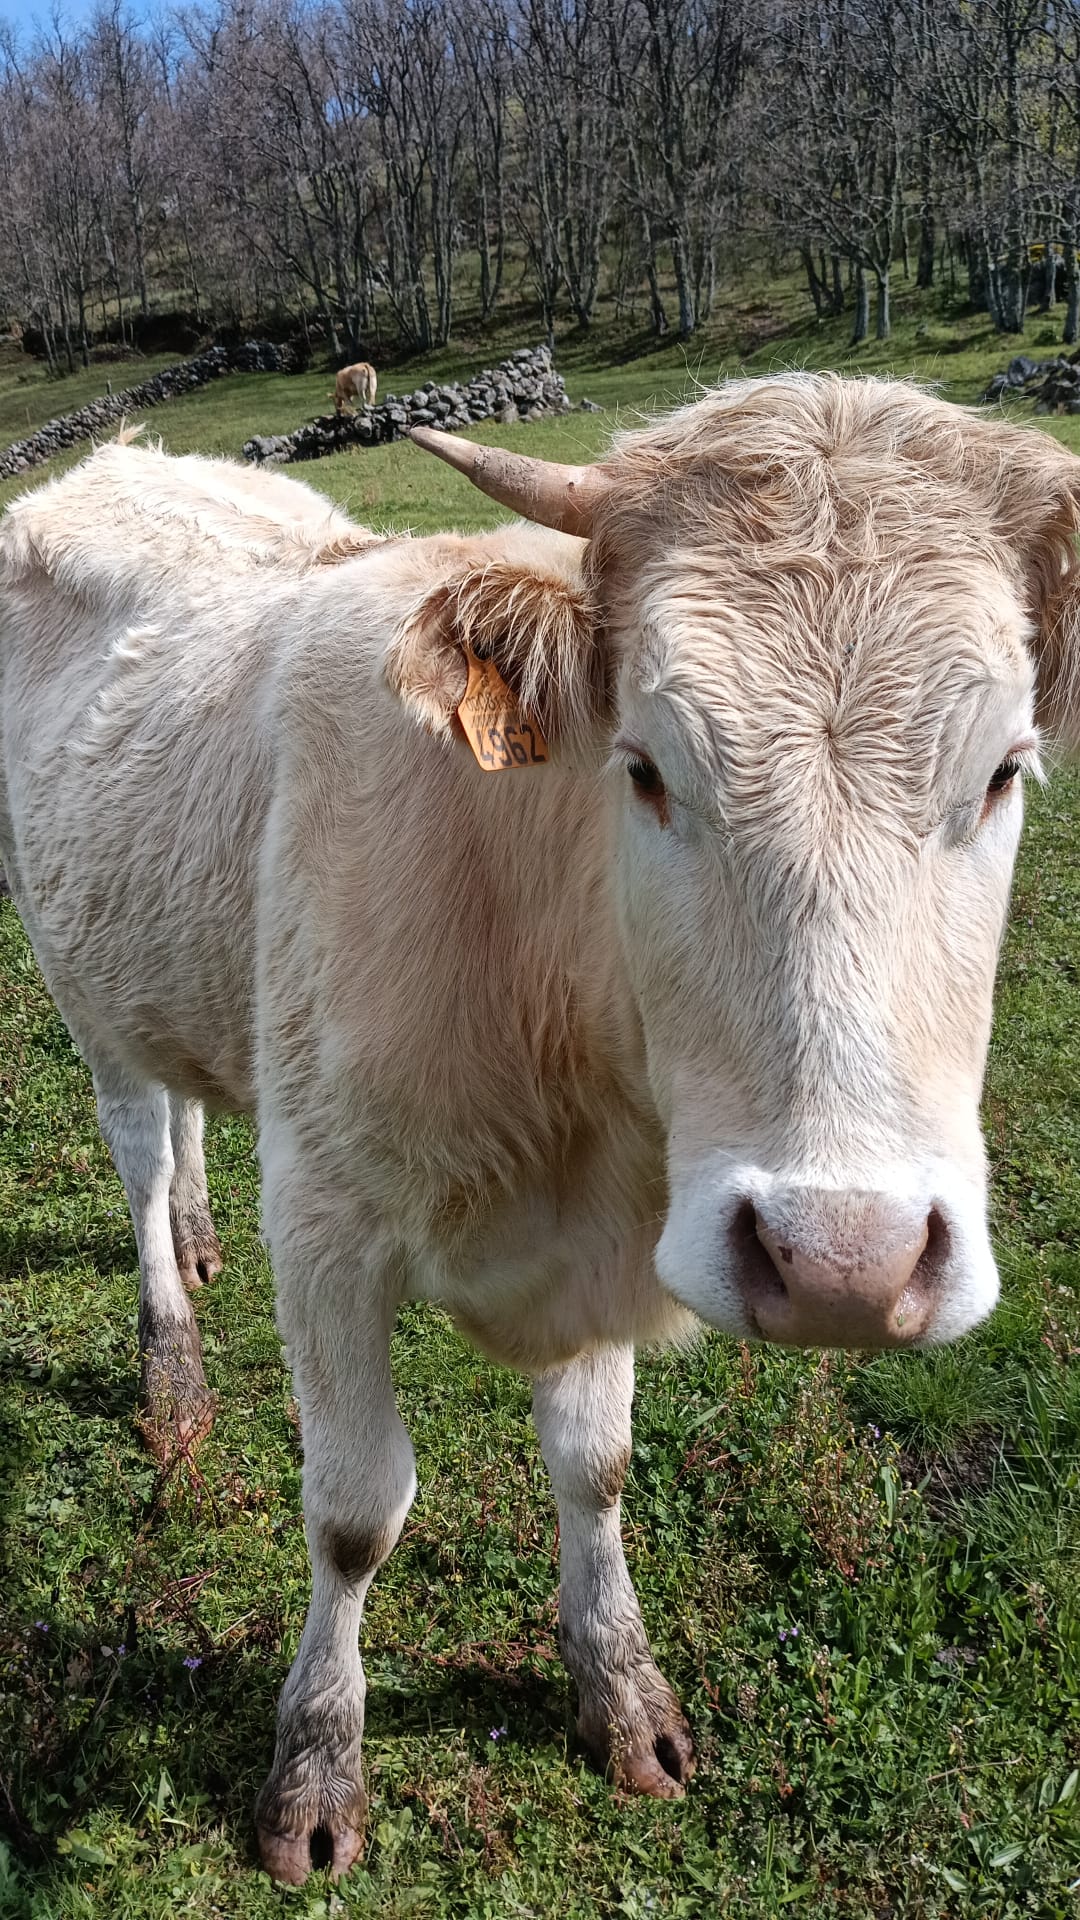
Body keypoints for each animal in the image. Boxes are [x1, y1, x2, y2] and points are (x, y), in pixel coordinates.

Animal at [1, 374, 1078, 1886]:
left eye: (1003, 772)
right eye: (645, 767)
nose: (843, 1265)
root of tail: (127, 463)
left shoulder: (618, 1238)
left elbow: (596, 1467)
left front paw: (622, 1689)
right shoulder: (325, 1225)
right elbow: (355, 1510)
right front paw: (315, 1766)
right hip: (76, 968)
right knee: (142, 1147)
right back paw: (173, 1363)